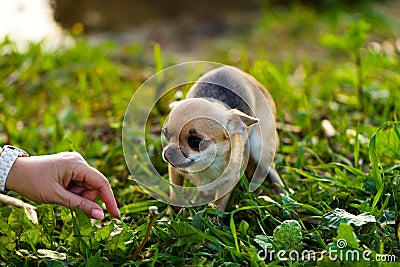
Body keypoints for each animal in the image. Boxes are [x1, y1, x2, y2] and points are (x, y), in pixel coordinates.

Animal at [161, 65, 282, 211]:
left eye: (195, 141)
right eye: (166, 134)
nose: (167, 153)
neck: (207, 164)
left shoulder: (229, 182)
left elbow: (218, 204)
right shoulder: (175, 171)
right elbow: (174, 194)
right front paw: (171, 213)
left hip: (260, 147)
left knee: (270, 166)